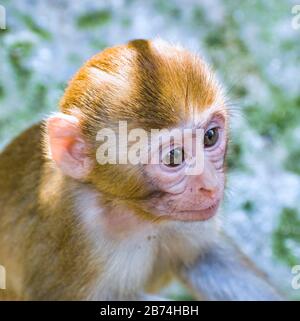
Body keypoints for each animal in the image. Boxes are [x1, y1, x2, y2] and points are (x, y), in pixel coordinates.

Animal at [0, 39, 282, 300]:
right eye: (174, 156)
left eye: (210, 136)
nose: (211, 185)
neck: (130, 211)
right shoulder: (74, 235)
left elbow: (205, 257)